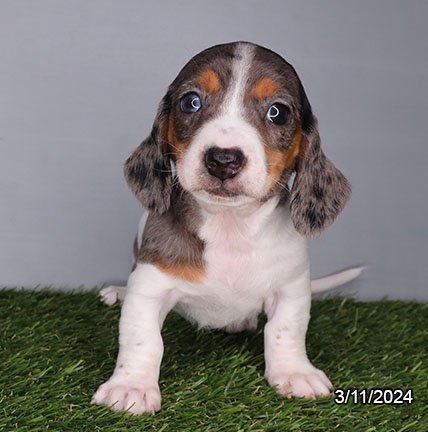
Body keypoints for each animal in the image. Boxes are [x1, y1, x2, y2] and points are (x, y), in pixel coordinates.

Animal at [91, 41, 362, 416]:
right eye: (190, 101)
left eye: (278, 112)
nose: (223, 160)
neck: (229, 227)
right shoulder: (149, 286)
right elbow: (143, 338)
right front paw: (132, 385)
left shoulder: (291, 287)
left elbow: (286, 330)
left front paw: (294, 372)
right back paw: (117, 291)